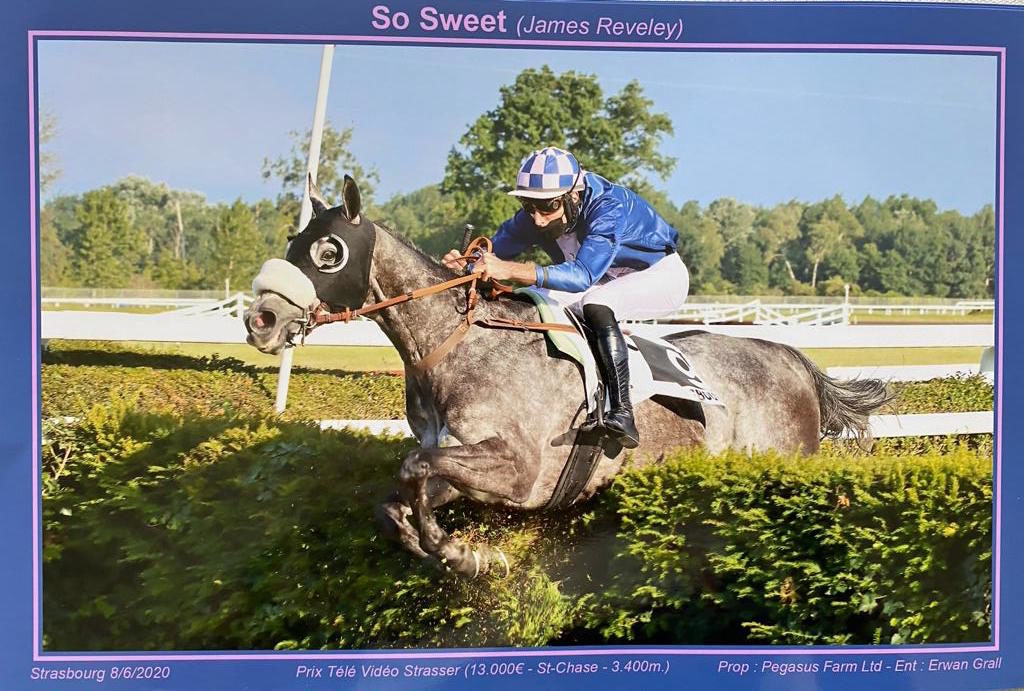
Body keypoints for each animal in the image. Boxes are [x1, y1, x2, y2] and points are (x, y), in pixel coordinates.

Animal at [245, 176, 888, 577]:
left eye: (330, 252)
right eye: (293, 240)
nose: (261, 319)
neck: (459, 347)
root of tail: (788, 356)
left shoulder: (519, 468)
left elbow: (414, 468)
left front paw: (461, 554)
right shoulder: (464, 460)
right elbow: (400, 494)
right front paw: (447, 546)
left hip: (778, 465)